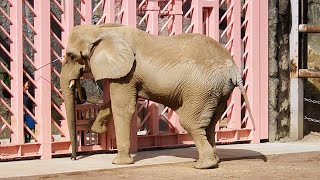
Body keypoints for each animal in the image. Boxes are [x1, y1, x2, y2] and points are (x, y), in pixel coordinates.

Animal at [60, 23, 255, 169]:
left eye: (72, 56)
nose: (73, 159)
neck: (100, 30)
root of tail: (233, 68)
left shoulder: (127, 72)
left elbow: (123, 108)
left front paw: (119, 163)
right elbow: (115, 103)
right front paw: (96, 128)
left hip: (202, 90)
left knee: (190, 122)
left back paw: (203, 165)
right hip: (218, 92)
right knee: (210, 124)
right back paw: (211, 161)